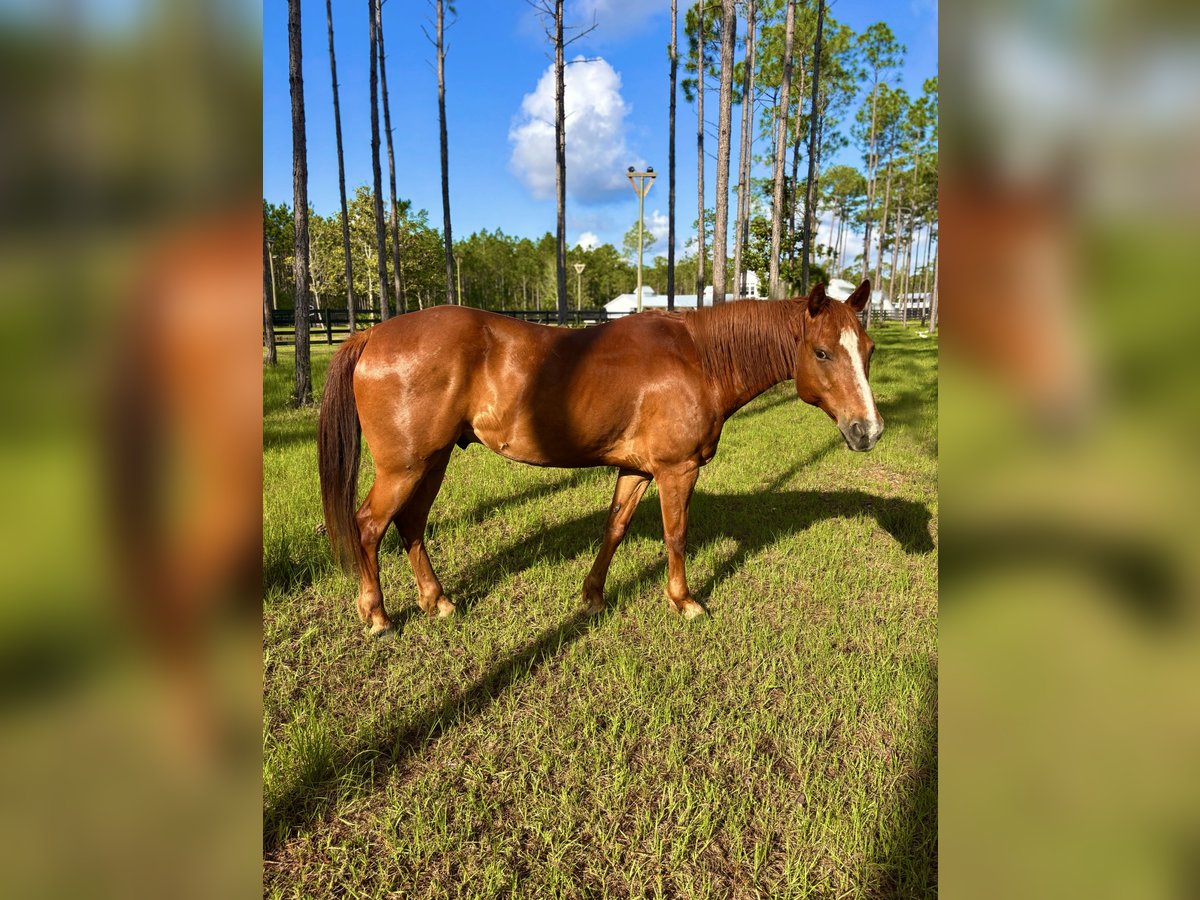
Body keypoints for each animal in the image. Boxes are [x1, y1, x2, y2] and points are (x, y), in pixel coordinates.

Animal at [317, 279, 882, 635]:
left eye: (869, 350)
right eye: (822, 352)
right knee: (369, 525)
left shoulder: (635, 470)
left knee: (410, 523)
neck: (698, 358)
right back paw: (377, 616)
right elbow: (676, 535)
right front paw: (684, 601)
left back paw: (436, 602)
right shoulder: (676, 470)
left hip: (432, 462)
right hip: (405, 467)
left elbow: (614, 527)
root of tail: (373, 333)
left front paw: (592, 596)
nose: (868, 430)